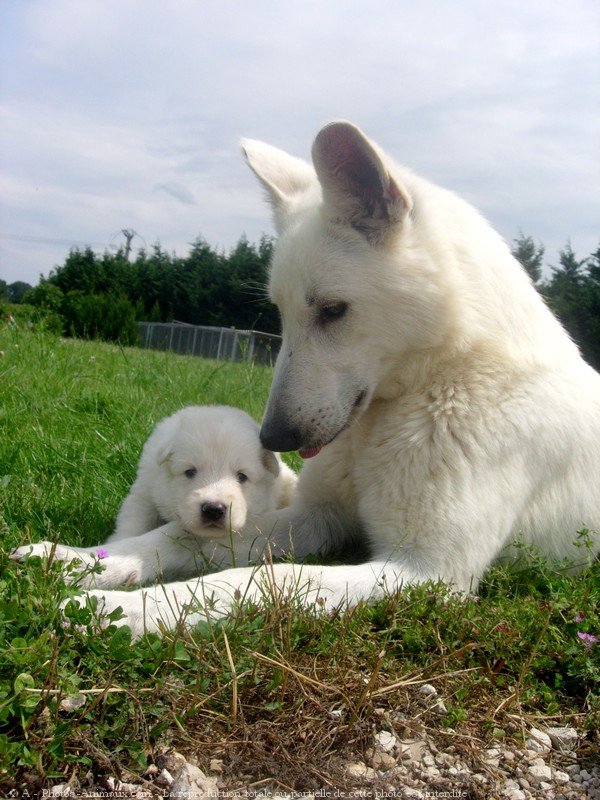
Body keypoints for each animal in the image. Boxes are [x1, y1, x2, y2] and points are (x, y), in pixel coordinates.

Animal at [10, 406, 296, 588]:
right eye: (190, 472)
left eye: (242, 476)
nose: (214, 509)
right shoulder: (145, 490)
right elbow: (133, 523)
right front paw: (110, 551)